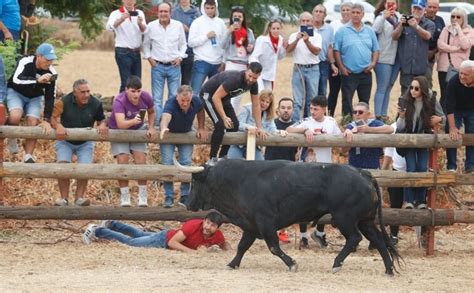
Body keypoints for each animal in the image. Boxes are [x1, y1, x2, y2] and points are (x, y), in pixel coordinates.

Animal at [180, 159, 402, 272]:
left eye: (195, 181)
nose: (187, 203)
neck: (241, 180)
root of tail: (364, 173)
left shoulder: (265, 223)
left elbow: (273, 247)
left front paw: (292, 263)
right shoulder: (251, 224)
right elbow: (243, 246)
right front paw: (232, 264)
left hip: (345, 219)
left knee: (354, 238)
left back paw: (337, 263)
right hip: (365, 220)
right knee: (379, 241)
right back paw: (389, 269)